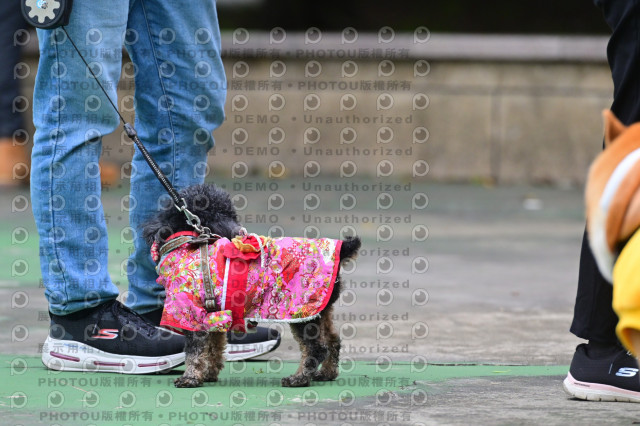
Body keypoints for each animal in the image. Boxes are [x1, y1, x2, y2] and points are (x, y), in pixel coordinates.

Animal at [143, 183, 361, 388]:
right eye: (210, 214)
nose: (239, 231)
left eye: (230, 213)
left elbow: (194, 351)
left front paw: (190, 378)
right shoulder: (214, 313)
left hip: (301, 311)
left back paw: (298, 378)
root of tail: (341, 251)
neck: (185, 243)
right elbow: (214, 346)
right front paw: (209, 373)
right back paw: (327, 373)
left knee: (316, 348)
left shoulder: (192, 313)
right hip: (320, 310)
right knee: (333, 340)